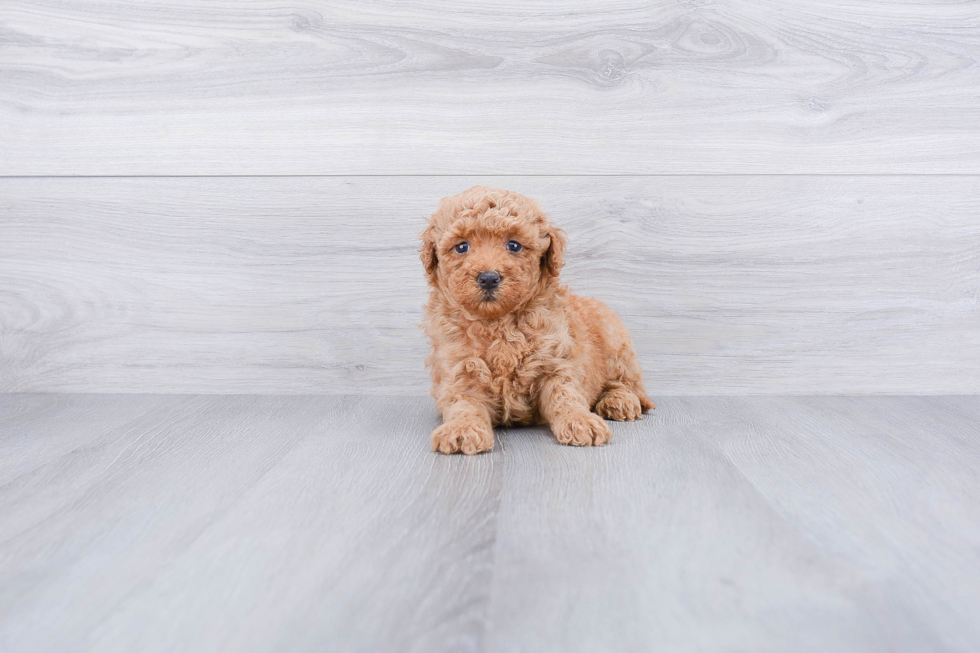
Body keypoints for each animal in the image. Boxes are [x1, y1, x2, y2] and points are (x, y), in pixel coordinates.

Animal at [420, 185, 656, 454]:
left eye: (514, 245)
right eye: (461, 247)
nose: (489, 278)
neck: (499, 322)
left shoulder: (554, 361)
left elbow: (565, 394)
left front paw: (579, 420)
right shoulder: (460, 369)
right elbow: (464, 402)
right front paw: (462, 429)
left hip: (618, 345)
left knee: (629, 385)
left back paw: (619, 401)